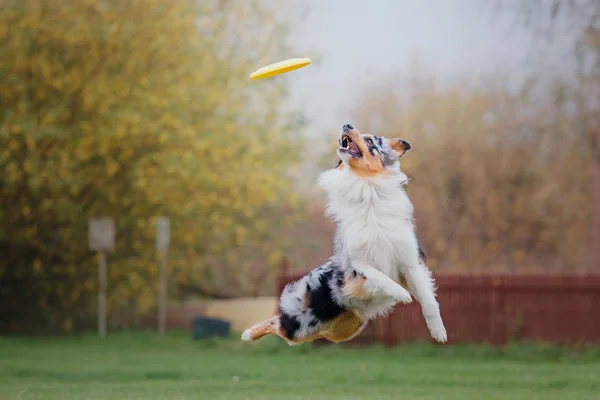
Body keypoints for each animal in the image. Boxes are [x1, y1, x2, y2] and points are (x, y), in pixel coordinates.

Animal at [241, 258, 410, 346]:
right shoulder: (353, 282)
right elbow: (378, 280)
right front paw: (402, 293)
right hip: (301, 327)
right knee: (277, 325)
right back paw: (248, 334)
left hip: (341, 330)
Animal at [318, 123, 446, 342]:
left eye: (370, 140)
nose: (346, 124)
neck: (366, 185)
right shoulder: (357, 262)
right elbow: (380, 277)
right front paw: (402, 294)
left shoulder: (411, 262)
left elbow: (428, 301)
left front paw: (439, 332)